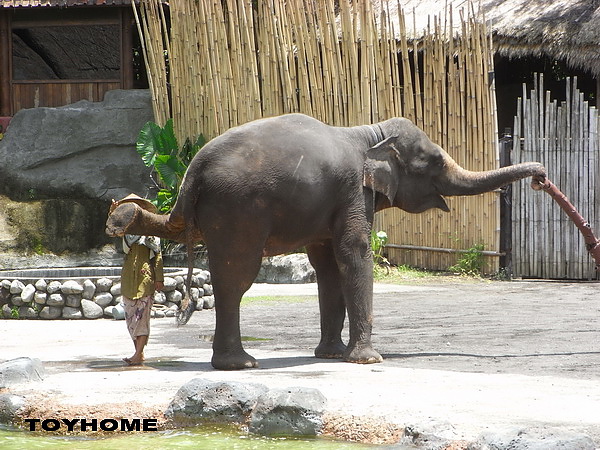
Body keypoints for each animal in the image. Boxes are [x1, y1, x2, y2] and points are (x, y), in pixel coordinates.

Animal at [105, 112, 548, 370]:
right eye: (434, 162)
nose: (542, 177)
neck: (368, 133)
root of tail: (190, 173)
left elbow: (327, 263)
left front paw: (331, 356)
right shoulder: (353, 190)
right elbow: (354, 253)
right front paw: (368, 360)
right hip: (238, 212)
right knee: (236, 278)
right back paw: (241, 365)